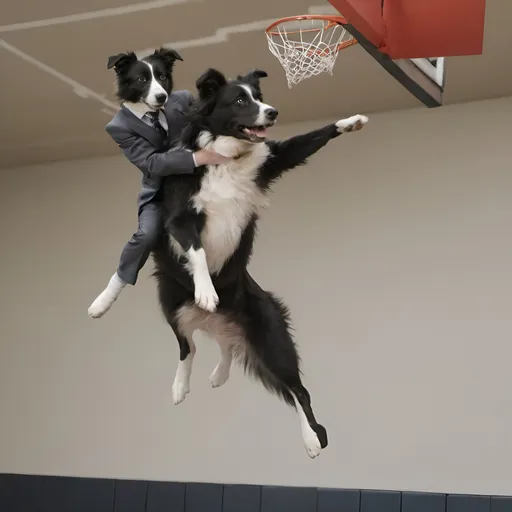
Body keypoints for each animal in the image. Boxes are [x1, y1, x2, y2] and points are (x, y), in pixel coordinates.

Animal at [149, 65, 368, 460]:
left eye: (259, 96)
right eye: (239, 100)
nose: (273, 112)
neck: (228, 157)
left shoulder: (271, 161)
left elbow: (306, 140)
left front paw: (350, 122)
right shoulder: (181, 218)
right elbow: (197, 251)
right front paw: (206, 290)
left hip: (271, 336)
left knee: (298, 390)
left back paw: (311, 439)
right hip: (169, 300)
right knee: (188, 346)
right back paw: (182, 385)